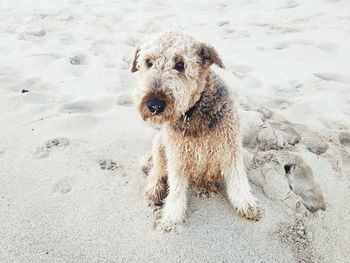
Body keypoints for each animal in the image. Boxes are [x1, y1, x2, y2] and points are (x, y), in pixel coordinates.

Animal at [131, 32, 262, 232]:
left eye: (180, 64)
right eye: (148, 62)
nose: (154, 105)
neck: (192, 114)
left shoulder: (230, 151)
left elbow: (238, 181)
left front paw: (248, 206)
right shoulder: (177, 157)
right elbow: (176, 191)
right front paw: (171, 218)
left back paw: (206, 186)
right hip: (160, 144)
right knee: (157, 172)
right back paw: (154, 191)